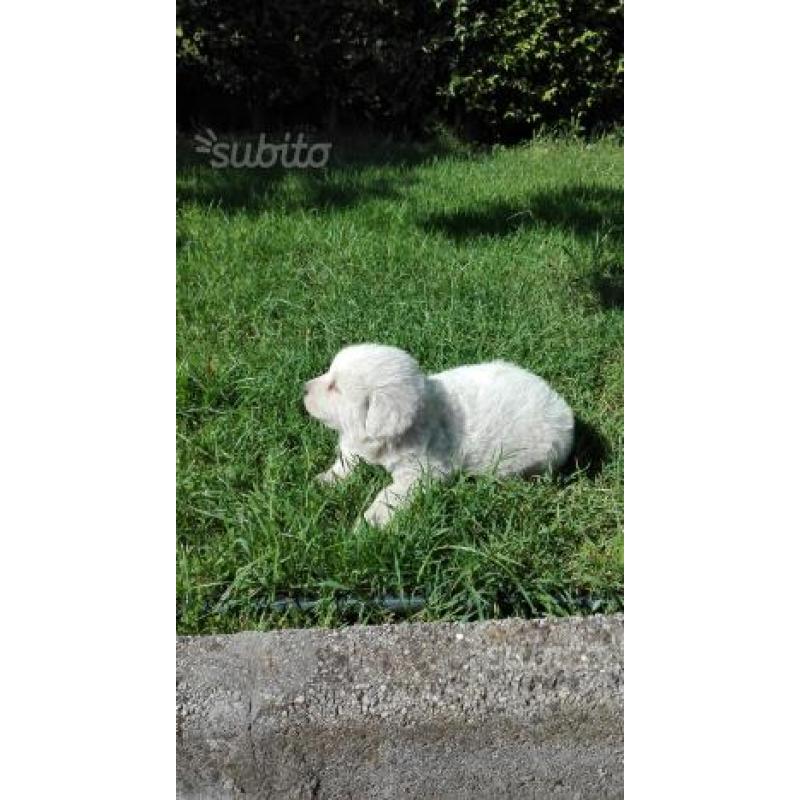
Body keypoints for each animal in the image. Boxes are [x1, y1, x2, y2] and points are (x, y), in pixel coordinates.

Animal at [302, 342, 576, 524]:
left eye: (335, 388)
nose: (303, 388)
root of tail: (559, 403)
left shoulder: (421, 472)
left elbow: (389, 493)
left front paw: (372, 520)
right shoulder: (357, 441)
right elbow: (347, 460)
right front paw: (325, 480)